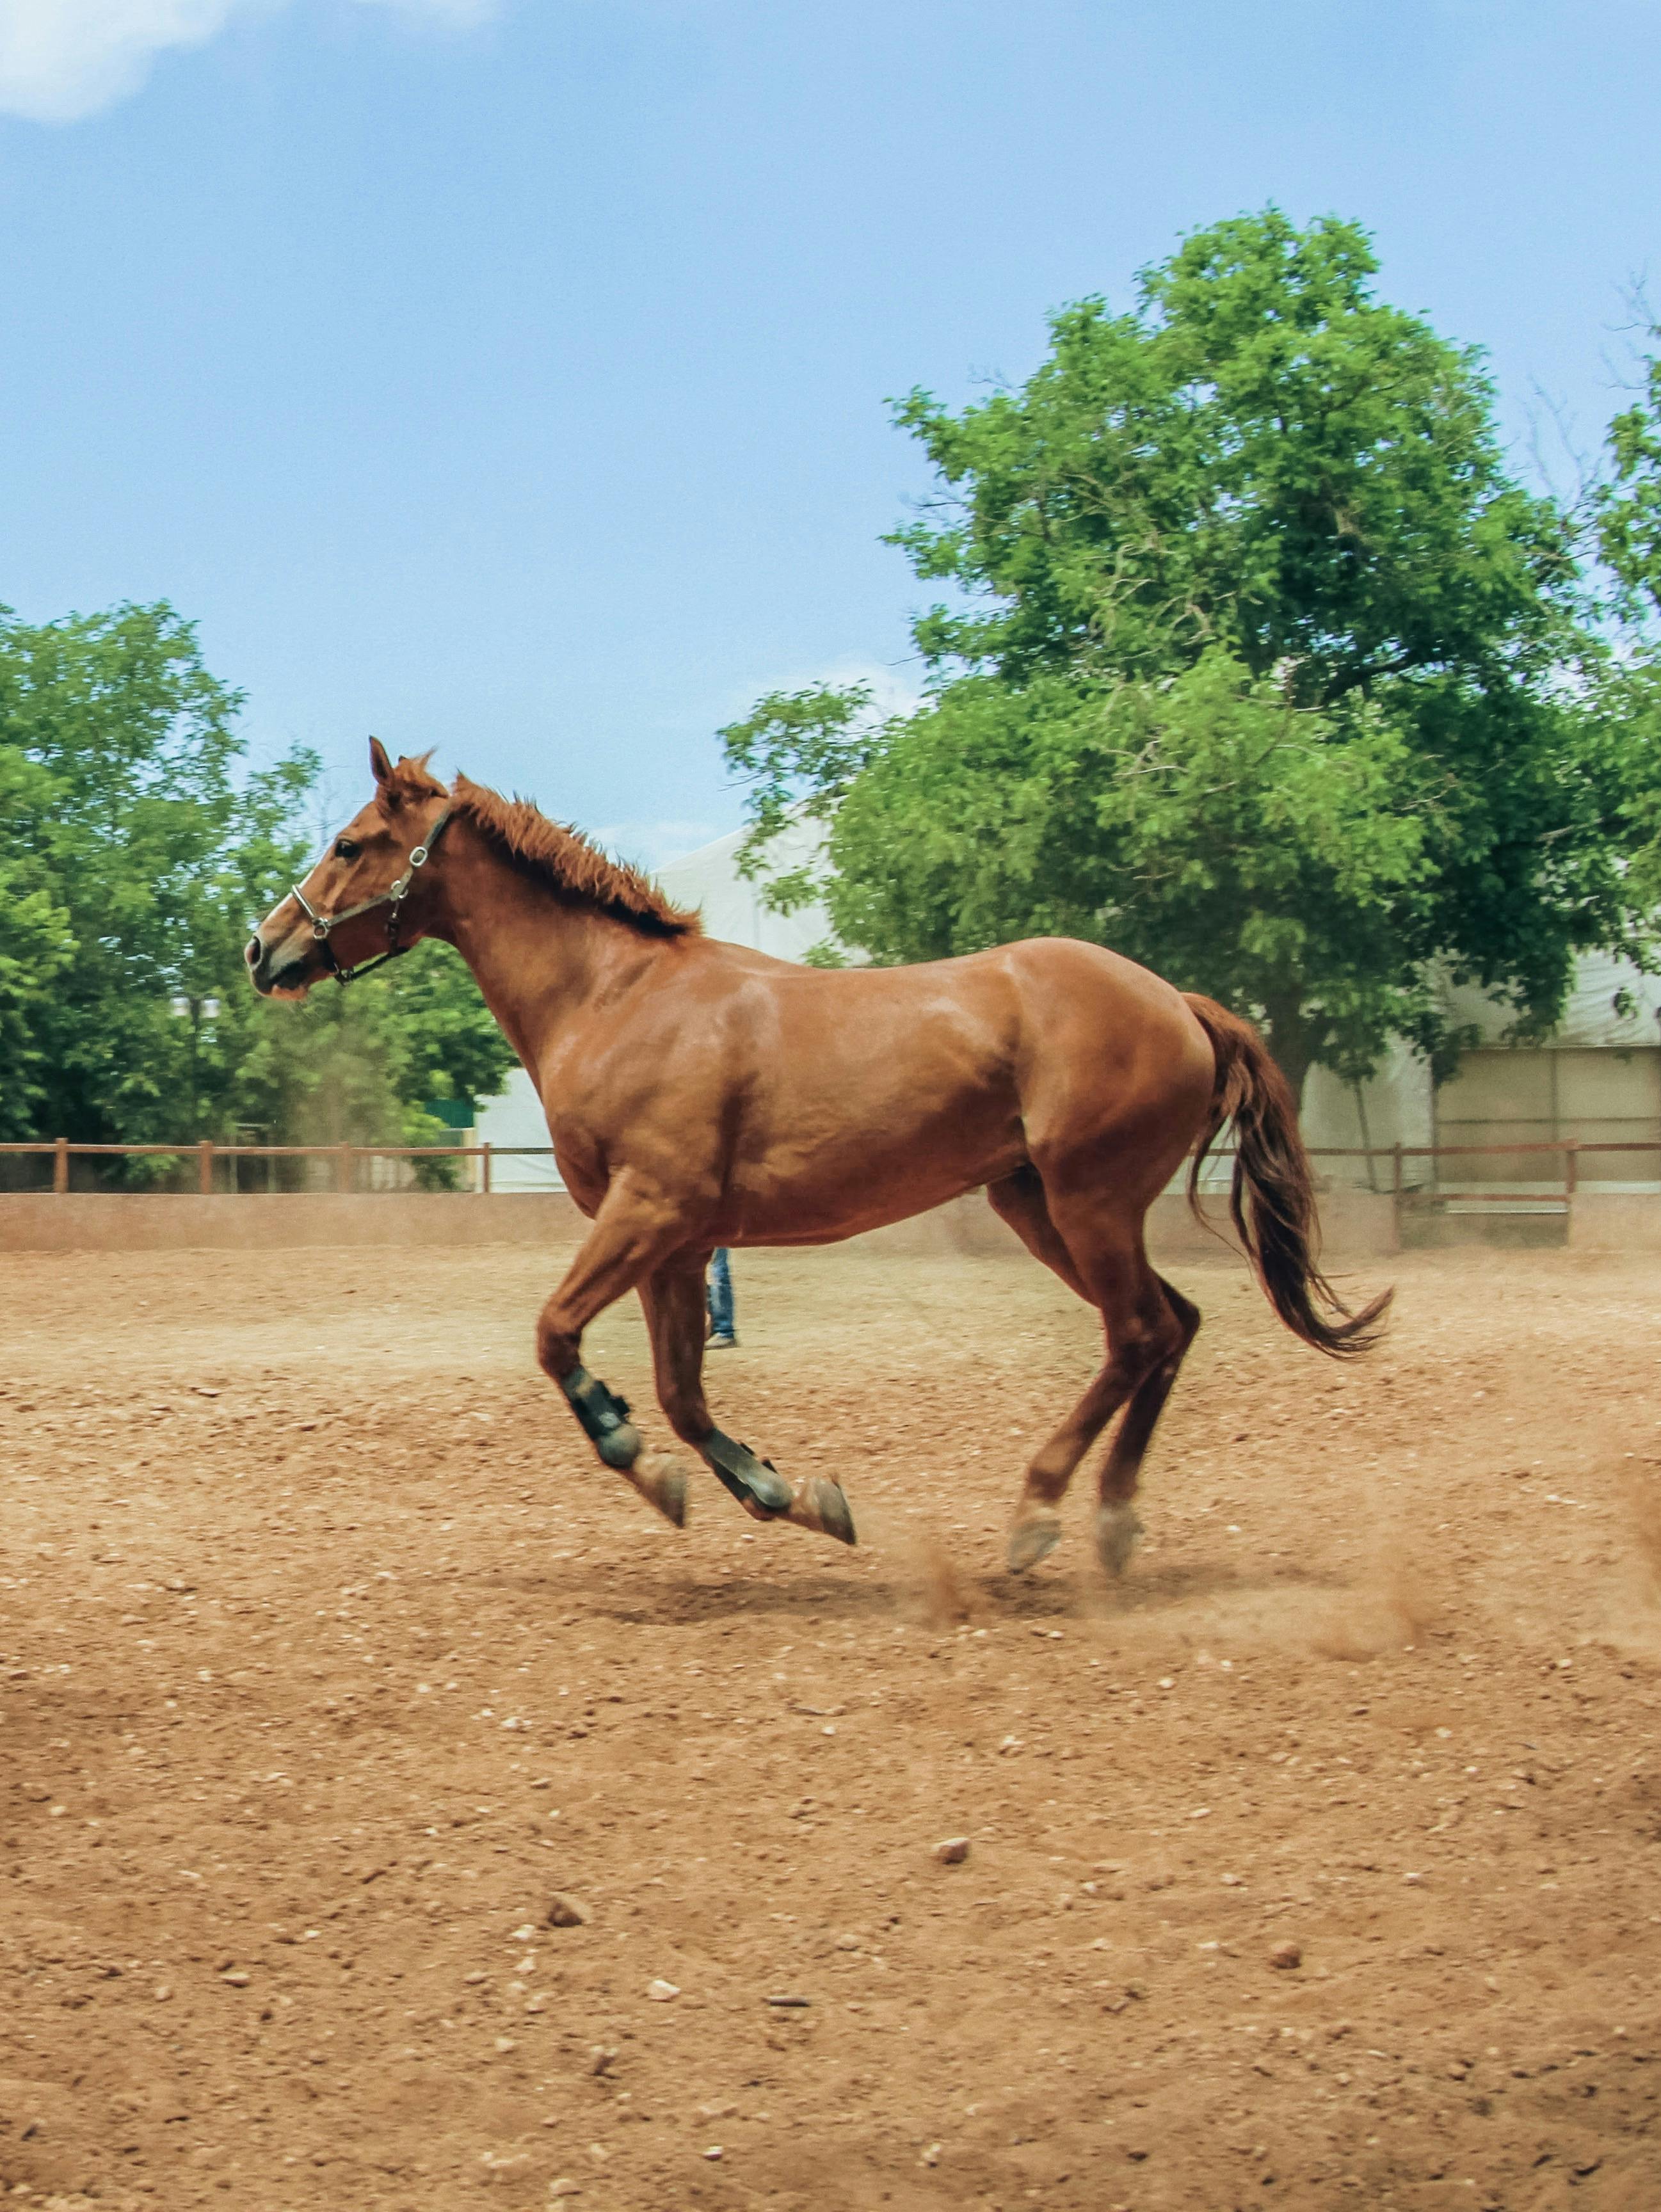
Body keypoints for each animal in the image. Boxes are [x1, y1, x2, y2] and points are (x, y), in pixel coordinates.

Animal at [246, 752, 1388, 1583]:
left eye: (351, 842)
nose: (263, 950)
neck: (616, 998)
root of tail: (1175, 1003)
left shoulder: (647, 1212)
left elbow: (558, 1338)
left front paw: (637, 1459)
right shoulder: (678, 1243)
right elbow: (683, 1395)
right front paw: (784, 1496)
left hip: (1086, 1201)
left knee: (1140, 1333)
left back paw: (1038, 1515)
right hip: (1036, 1206)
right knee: (1169, 1328)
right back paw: (1110, 1524)